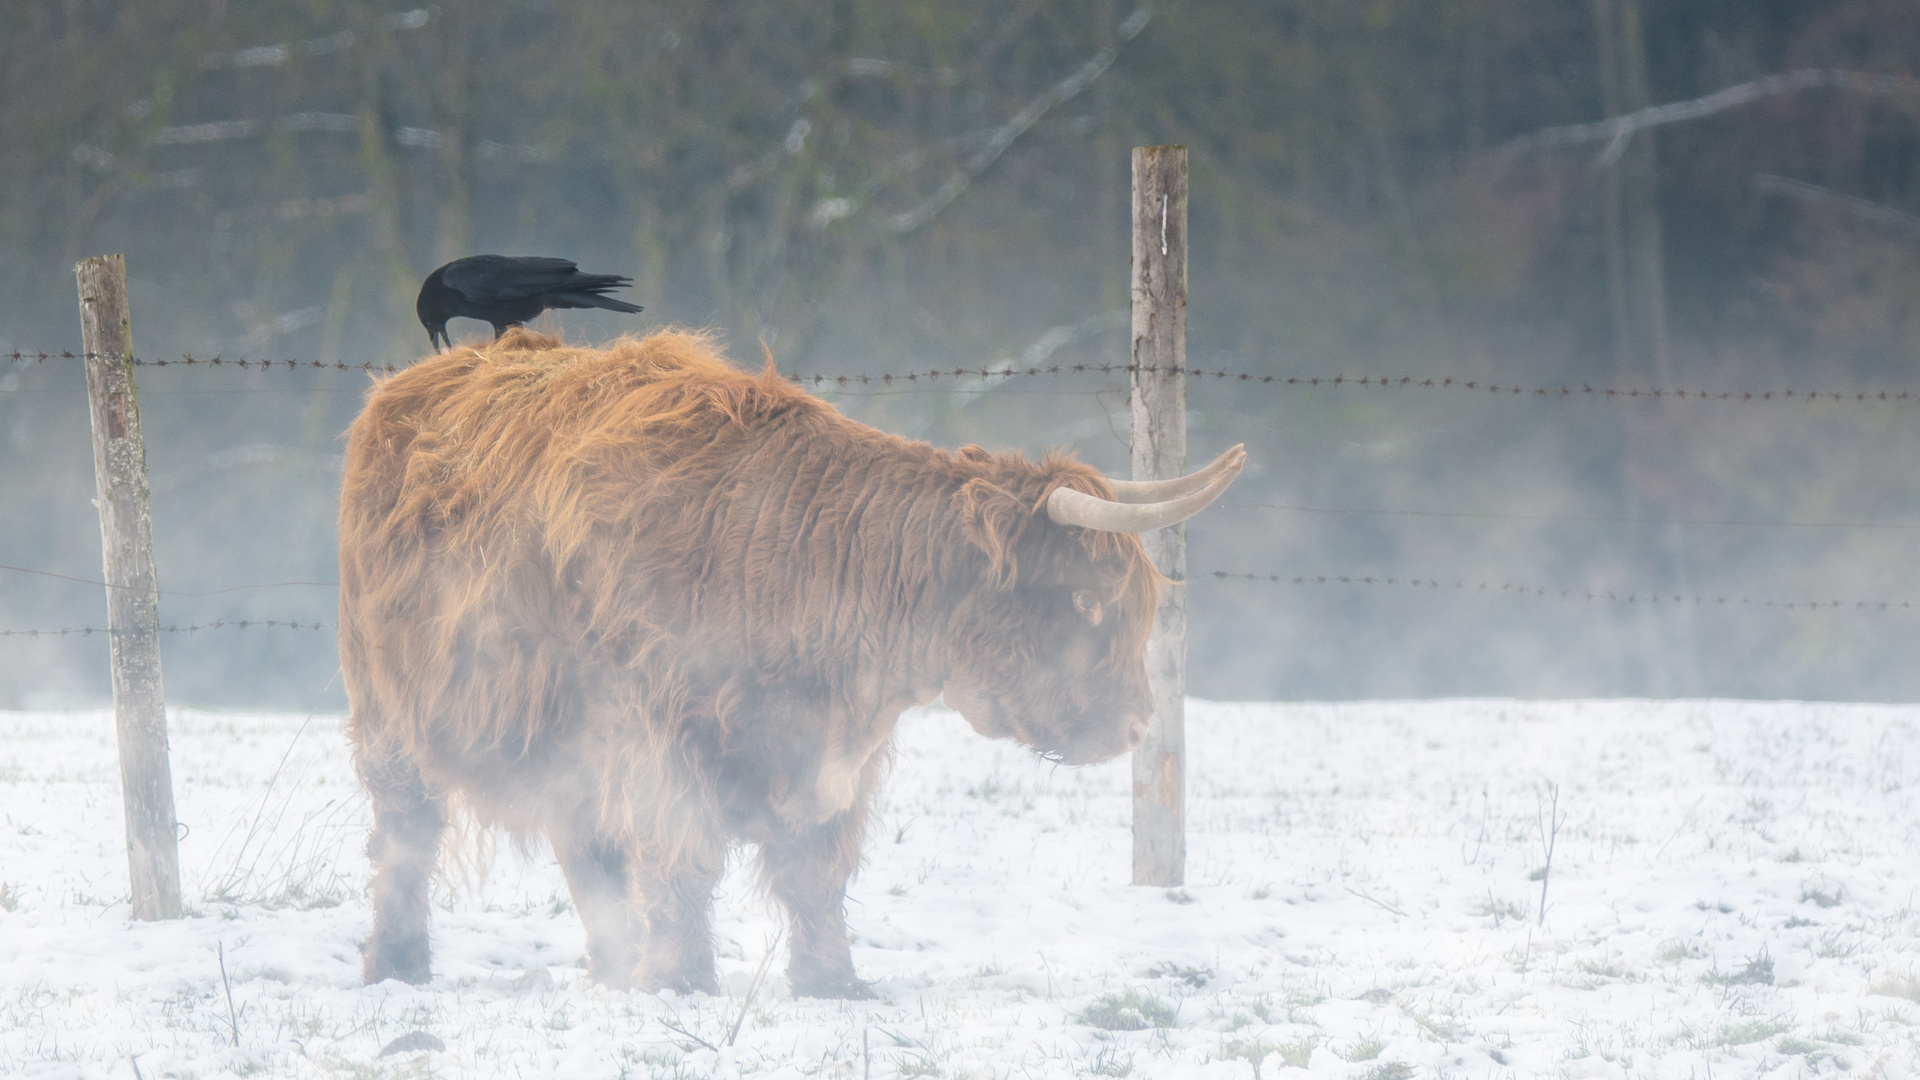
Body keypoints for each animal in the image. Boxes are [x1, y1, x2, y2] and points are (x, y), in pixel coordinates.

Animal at [339, 326, 1244, 991]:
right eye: (1087, 600)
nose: (1136, 726)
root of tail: (410, 382)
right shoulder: (658, 735)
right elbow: (682, 858)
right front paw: (681, 981)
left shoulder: (836, 756)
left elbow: (816, 871)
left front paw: (831, 982)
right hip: (387, 711)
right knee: (404, 835)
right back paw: (398, 965)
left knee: (583, 849)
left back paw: (610, 967)